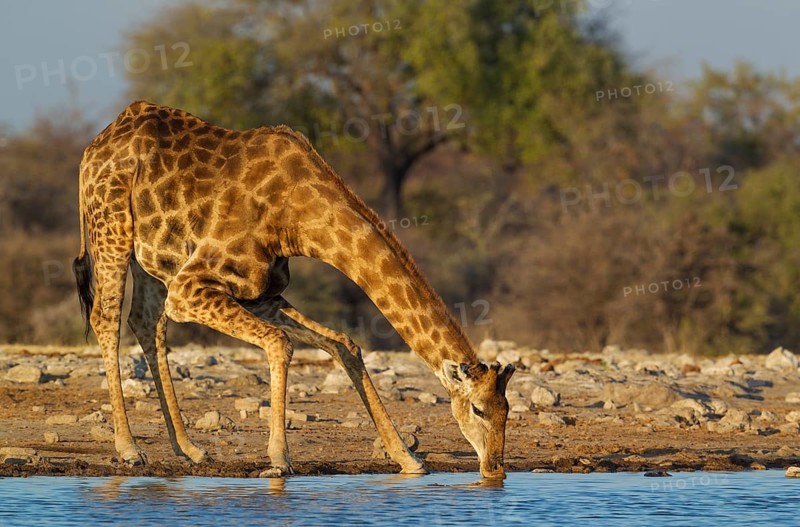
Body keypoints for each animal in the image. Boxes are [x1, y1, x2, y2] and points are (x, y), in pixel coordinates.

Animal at [73, 100, 515, 478]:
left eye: (508, 410)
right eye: (478, 409)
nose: (495, 468)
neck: (297, 220)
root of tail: (93, 147)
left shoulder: (261, 293)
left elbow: (344, 344)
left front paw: (408, 459)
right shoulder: (189, 287)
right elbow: (280, 342)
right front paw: (279, 460)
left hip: (151, 256)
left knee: (146, 322)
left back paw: (190, 448)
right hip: (111, 230)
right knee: (107, 318)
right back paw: (129, 449)